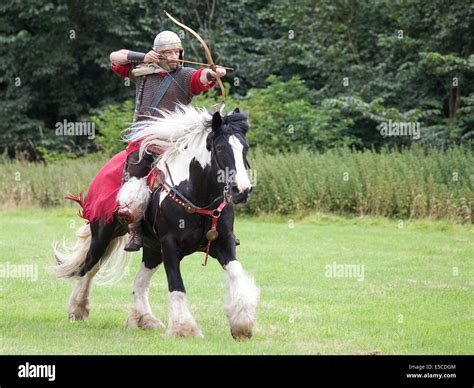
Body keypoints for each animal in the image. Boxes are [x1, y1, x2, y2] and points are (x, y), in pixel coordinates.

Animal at [51, 105, 260, 340]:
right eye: (221, 148)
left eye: (245, 148)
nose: (242, 190)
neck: (197, 194)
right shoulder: (170, 245)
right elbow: (176, 285)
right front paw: (184, 328)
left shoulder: (224, 242)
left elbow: (236, 273)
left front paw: (242, 324)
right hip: (103, 236)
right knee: (89, 268)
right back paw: (77, 309)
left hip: (152, 249)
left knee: (138, 281)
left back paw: (144, 319)